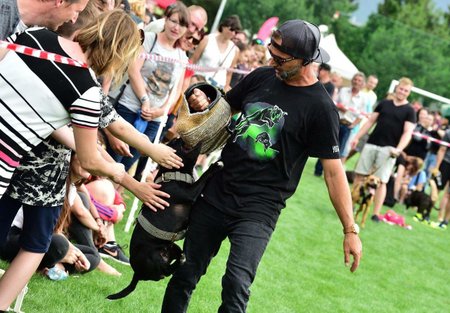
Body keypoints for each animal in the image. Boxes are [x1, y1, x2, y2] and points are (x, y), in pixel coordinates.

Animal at [107, 138, 223, 298]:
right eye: (174, 143)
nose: (177, 137)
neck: (173, 173)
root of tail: (137, 274)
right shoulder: (189, 193)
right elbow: (203, 177)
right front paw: (216, 165)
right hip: (154, 257)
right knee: (165, 272)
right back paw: (180, 262)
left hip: (172, 247)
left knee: (170, 265)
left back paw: (181, 258)